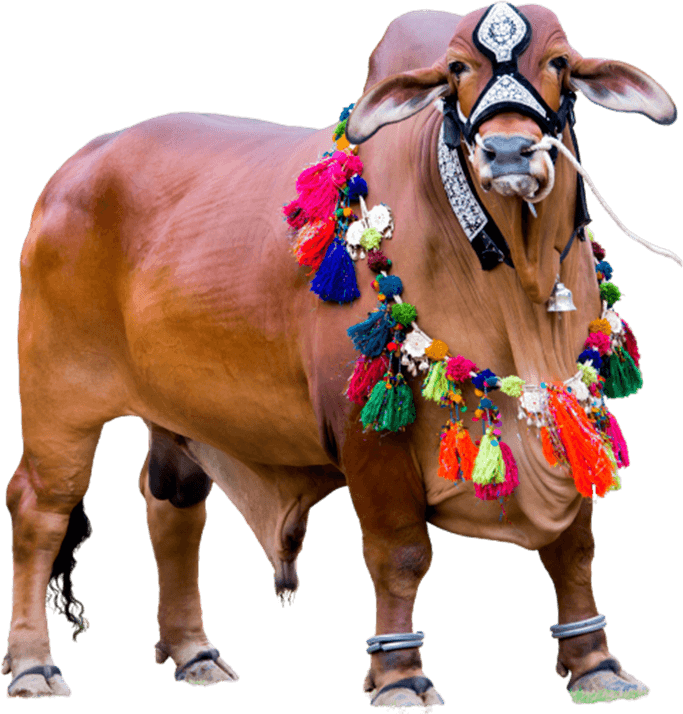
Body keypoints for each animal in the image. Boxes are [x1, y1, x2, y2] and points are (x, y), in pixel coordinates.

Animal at [3, 1, 677, 707]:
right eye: (456, 69)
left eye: (559, 62)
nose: (508, 150)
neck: (518, 285)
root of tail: (75, 168)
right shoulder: (367, 438)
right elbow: (401, 553)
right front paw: (400, 674)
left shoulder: (571, 408)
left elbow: (574, 547)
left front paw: (595, 663)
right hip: (57, 393)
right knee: (39, 510)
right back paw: (32, 665)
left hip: (178, 409)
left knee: (173, 506)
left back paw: (194, 652)